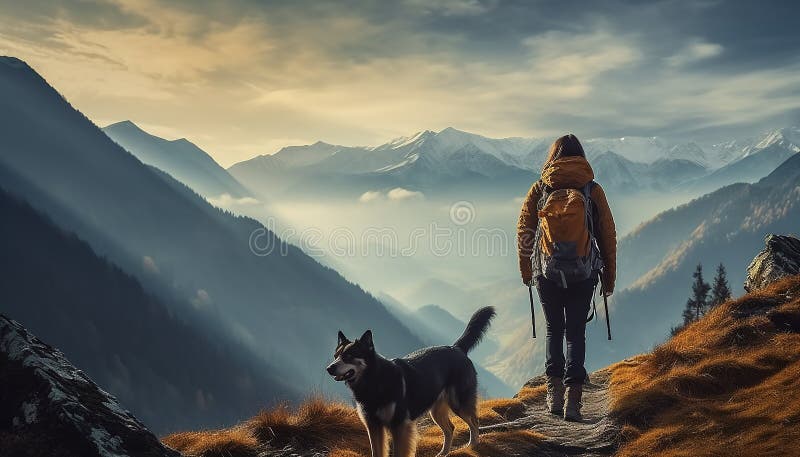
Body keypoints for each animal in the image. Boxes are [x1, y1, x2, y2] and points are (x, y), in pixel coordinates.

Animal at [324, 304, 494, 454]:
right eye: (335, 356)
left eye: (348, 356)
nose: (329, 368)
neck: (375, 379)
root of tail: (457, 348)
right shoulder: (374, 427)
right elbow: (377, 452)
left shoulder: (399, 426)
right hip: (436, 410)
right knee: (450, 429)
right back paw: (444, 453)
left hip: (458, 402)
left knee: (474, 422)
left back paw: (472, 446)